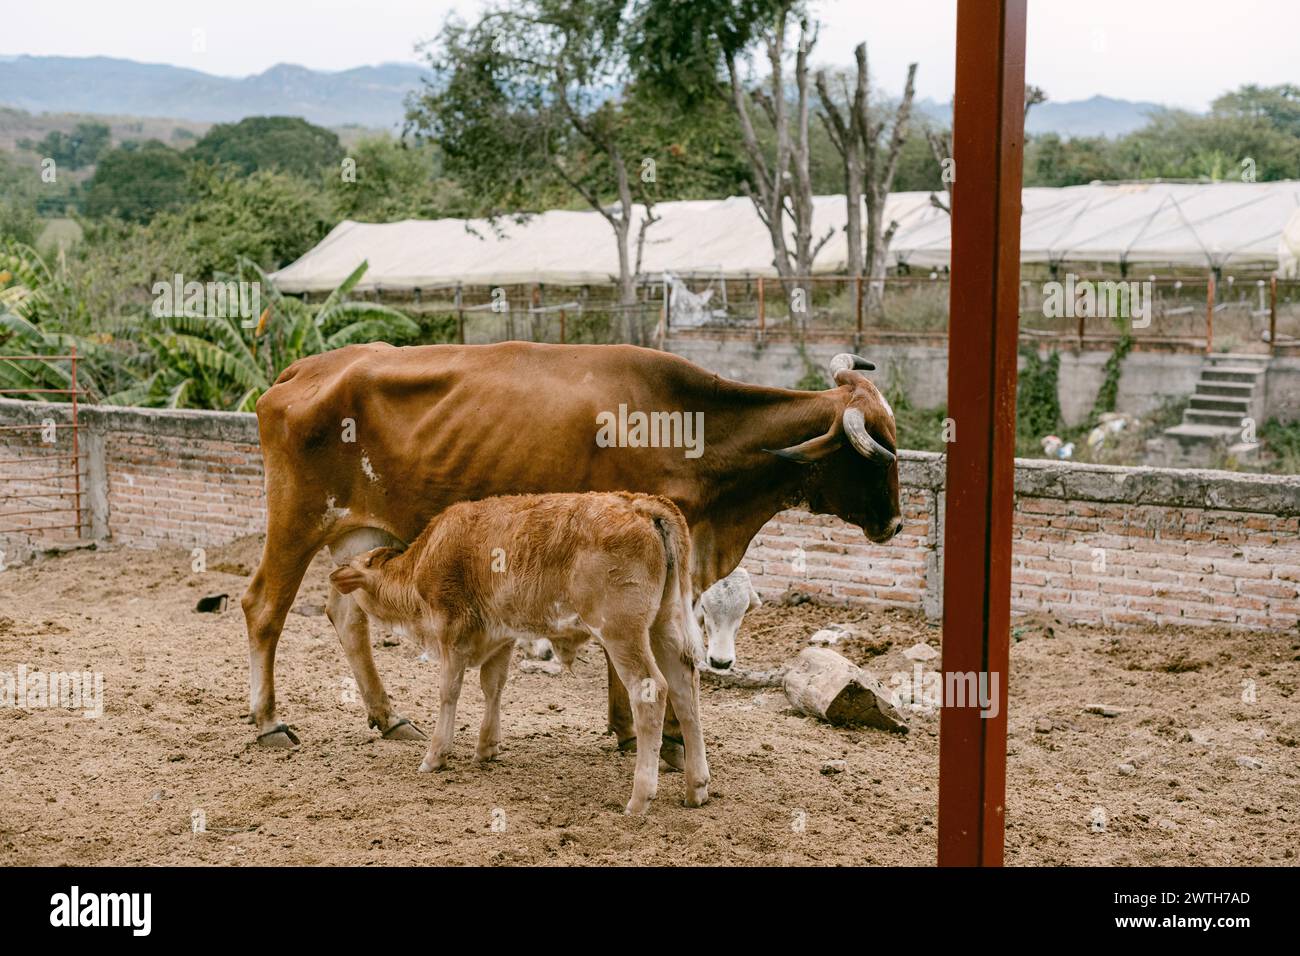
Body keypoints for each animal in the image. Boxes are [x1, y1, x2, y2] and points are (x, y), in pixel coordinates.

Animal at [239, 340, 899, 759]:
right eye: (876, 452)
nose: (894, 523)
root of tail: (301, 370)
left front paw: (636, 732)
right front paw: (651, 737)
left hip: (360, 533)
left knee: (347, 613)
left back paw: (388, 716)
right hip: (296, 520)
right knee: (263, 608)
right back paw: (269, 722)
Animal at [330, 494, 707, 816]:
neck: (429, 555)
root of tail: (641, 505)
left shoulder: (452, 633)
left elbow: (449, 692)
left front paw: (435, 756)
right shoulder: (501, 636)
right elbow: (492, 686)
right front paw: (487, 748)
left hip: (622, 634)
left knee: (651, 691)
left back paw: (640, 798)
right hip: (665, 627)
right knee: (684, 688)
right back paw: (697, 787)